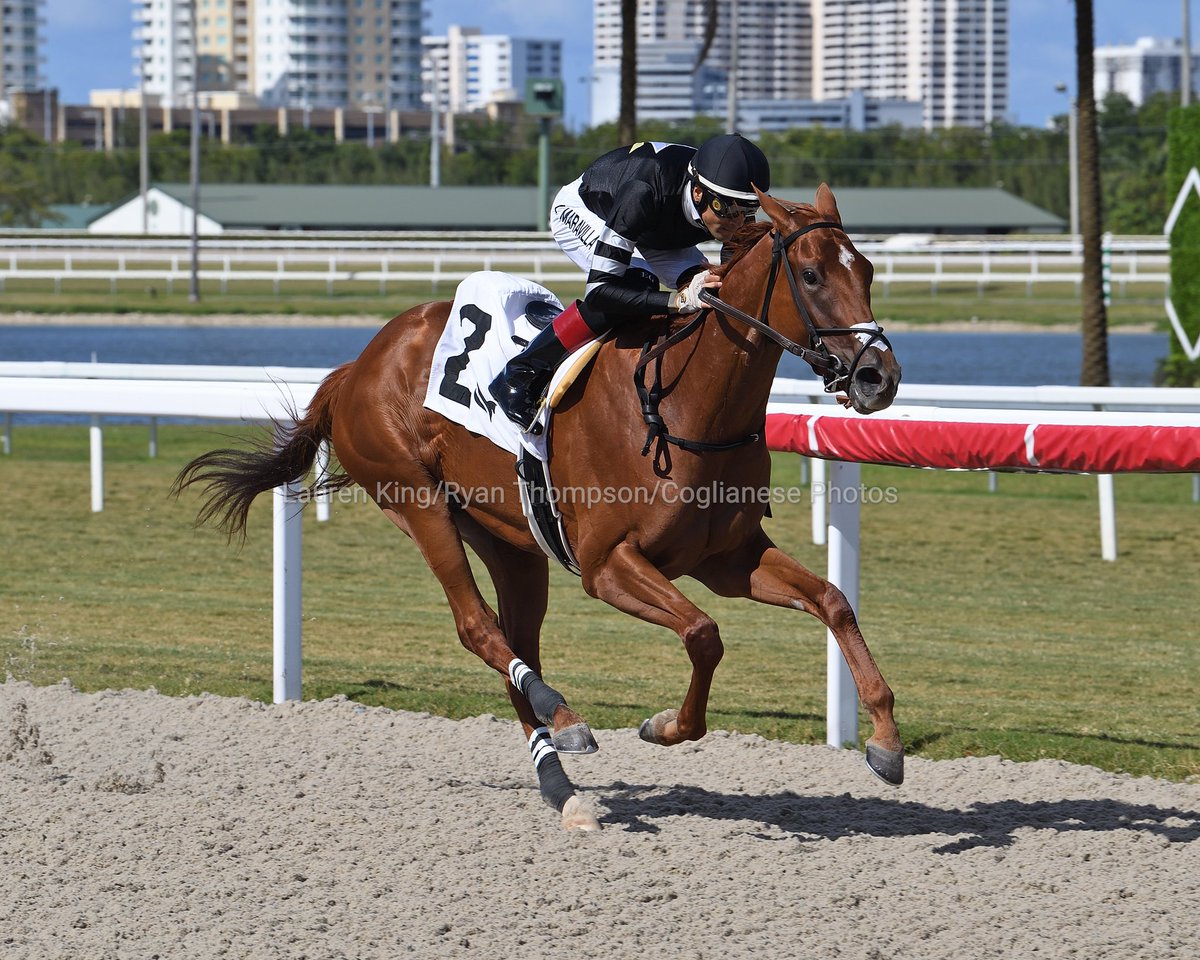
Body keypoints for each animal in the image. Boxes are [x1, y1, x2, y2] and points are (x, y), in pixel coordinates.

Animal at [175, 187, 902, 830]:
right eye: (811, 274)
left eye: (866, 270)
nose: (879, 377)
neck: (685, 405)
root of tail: (357, 365)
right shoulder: (608, 565)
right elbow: (703, 633)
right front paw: (667, 725)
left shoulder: (727, 558)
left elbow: (833, 600)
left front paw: (886, 740)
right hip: (418, 502)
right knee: (479, 629)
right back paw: (564, 714)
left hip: (511, 539)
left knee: (515, 643)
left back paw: (561, 781)